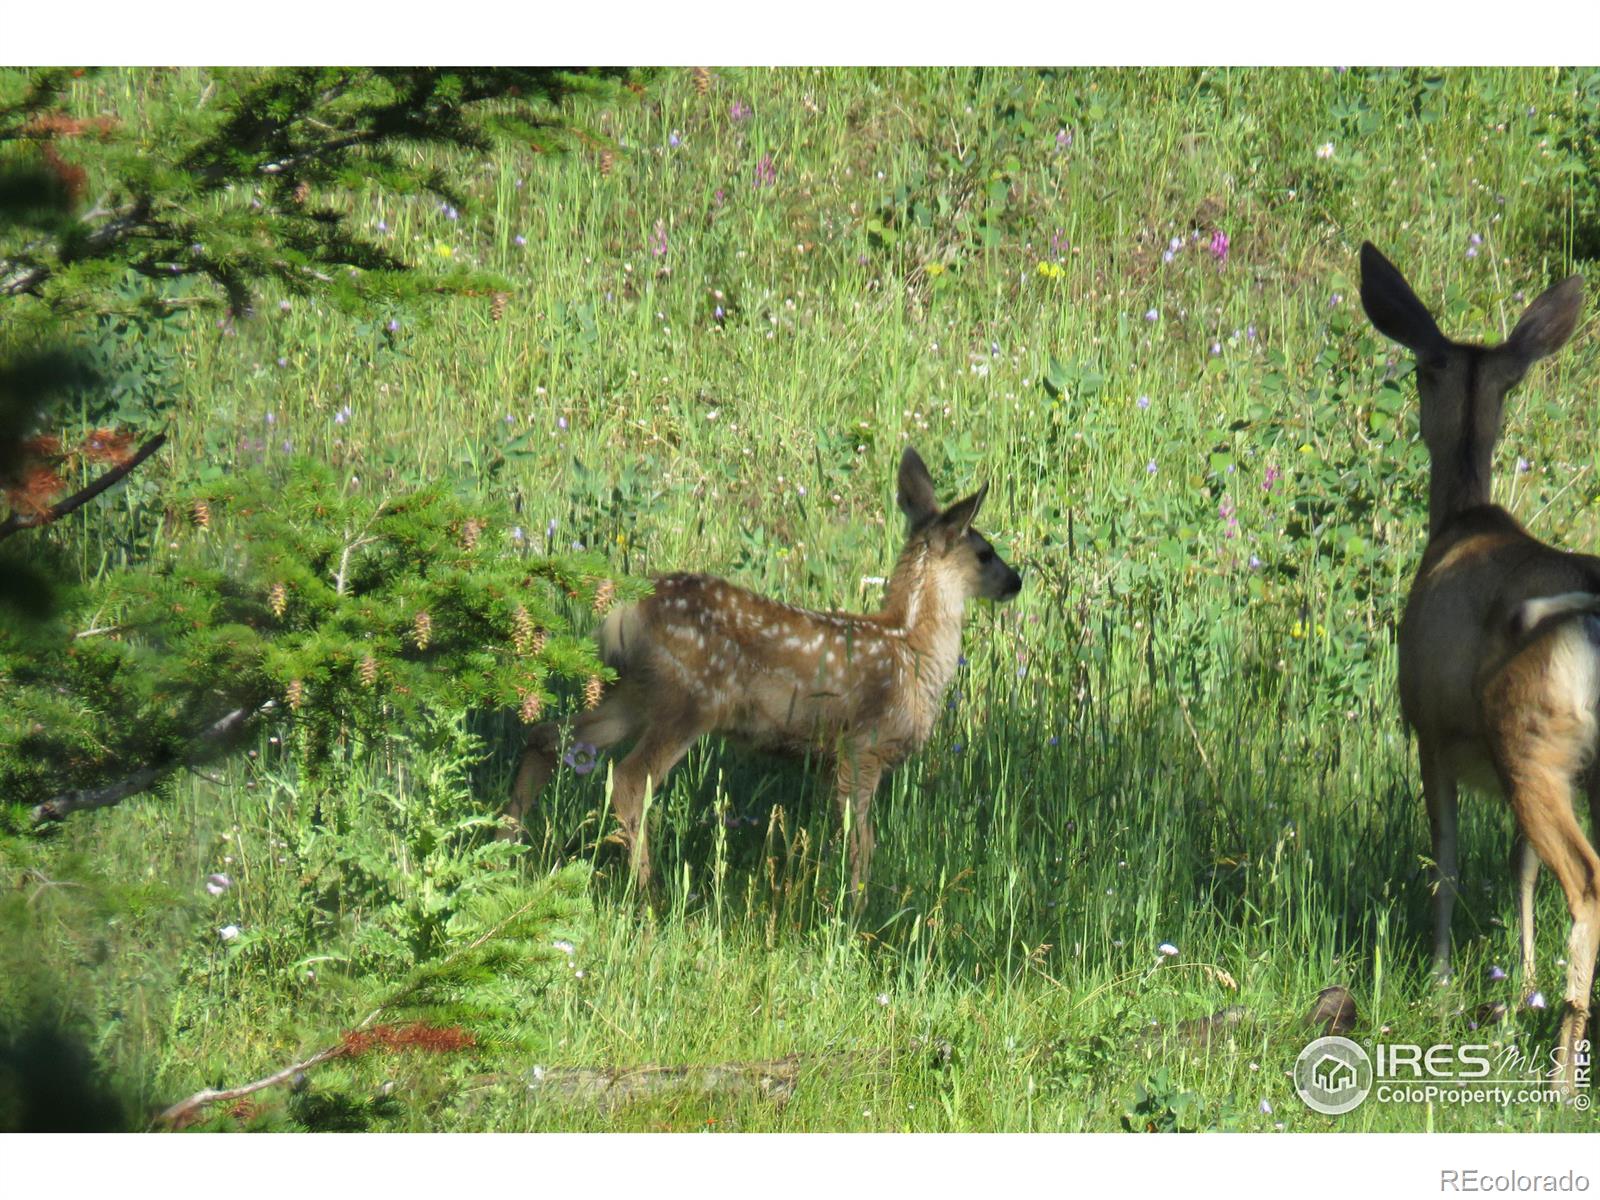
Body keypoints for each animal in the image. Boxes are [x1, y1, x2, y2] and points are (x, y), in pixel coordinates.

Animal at [505, 448, 1017, 908]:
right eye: (985, 553)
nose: (1016, 581)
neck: (911, 648)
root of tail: (625, 611)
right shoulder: (863, 745)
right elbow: (861, 839)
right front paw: (857, 910)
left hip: (631, 692)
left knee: (547, 733)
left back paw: (508, 842)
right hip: (689, 698)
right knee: (630, 779)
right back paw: (649, 892)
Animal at [1356, 241, 1593, 1088]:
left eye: (1424, 369)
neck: (1460, 521)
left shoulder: (1428, 726)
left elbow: (1448, 858)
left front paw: (1439, 977)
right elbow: (1520, 872)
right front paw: (1518, 985)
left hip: (1529, 736)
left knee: (1585, 881)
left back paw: (1562, 1073)